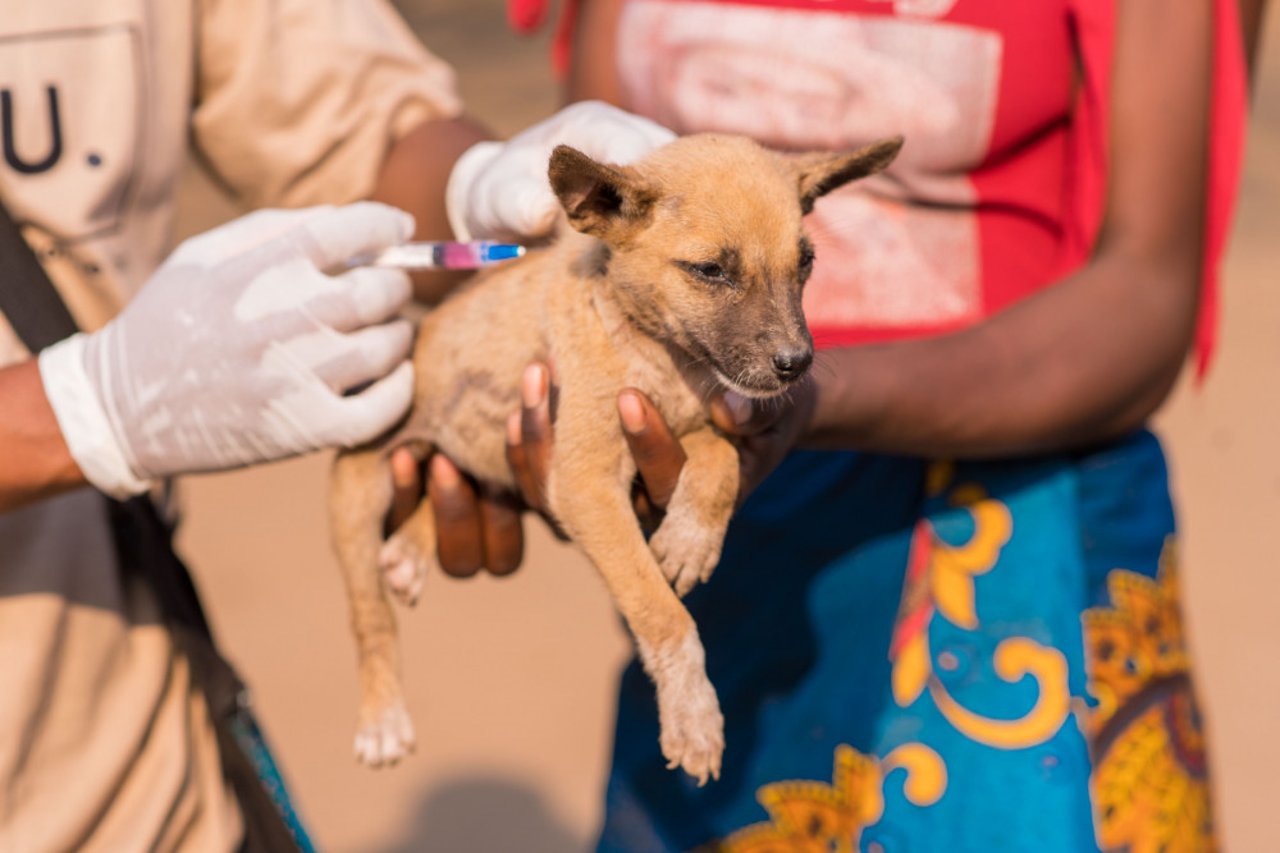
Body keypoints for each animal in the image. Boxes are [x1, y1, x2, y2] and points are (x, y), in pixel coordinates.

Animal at [330, 134, 901, 783]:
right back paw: (382, 717)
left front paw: (689, 539)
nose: (796, 364)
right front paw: (693, 716)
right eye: (711, 270)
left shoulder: (689, 429)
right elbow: (662, 613)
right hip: (357, 492)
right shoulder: (584, 483)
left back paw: (409, 548)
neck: (657, 353)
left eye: (804, 264)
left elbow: (722, 463)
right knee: (370, 618)